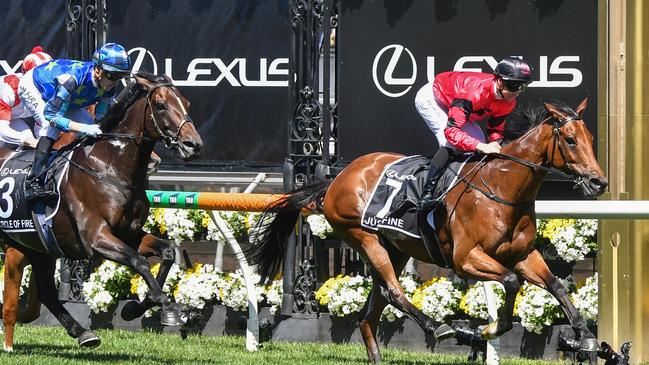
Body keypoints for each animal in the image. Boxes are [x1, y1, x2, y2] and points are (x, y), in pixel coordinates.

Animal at [0, 72, 201, 348]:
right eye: (161, 105)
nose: (193, 145)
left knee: (48, 294)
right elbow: (139, 261)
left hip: (39, 248)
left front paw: (137, 309)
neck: (110, 167)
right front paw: (166, 307)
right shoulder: (96, 238)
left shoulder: (129, 233)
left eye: (187, 103)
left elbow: (168, 252)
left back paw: (83, 333)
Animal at [248, 98, 608, 362]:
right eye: (570, 140)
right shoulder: (466, 258)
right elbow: (510, 281)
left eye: (591, 139)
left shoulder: (522, 254)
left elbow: (556, 286)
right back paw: (440, 327)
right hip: (363, 236)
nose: (598, 182)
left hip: (392, 248)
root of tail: (337, 178)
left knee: (372, 310)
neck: (501, 187)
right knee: (394, 293)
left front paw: (588, 338)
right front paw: (487, 330)